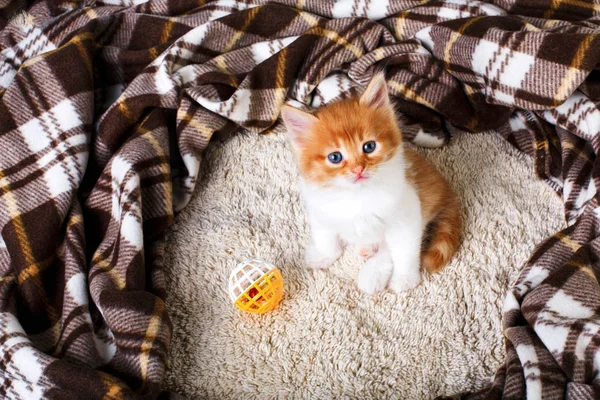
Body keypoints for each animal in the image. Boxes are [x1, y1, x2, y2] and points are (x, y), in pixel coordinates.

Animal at [280, 72, 460, 294]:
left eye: (369, 146)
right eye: (335, 157)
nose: (358, 169)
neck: (356, 195)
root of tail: (447, 190)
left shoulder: (407, 212)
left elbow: (404, 252)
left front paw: (405, 279)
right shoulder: (320, 207)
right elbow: (325, 234)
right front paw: (324, 254)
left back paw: (372, 274)